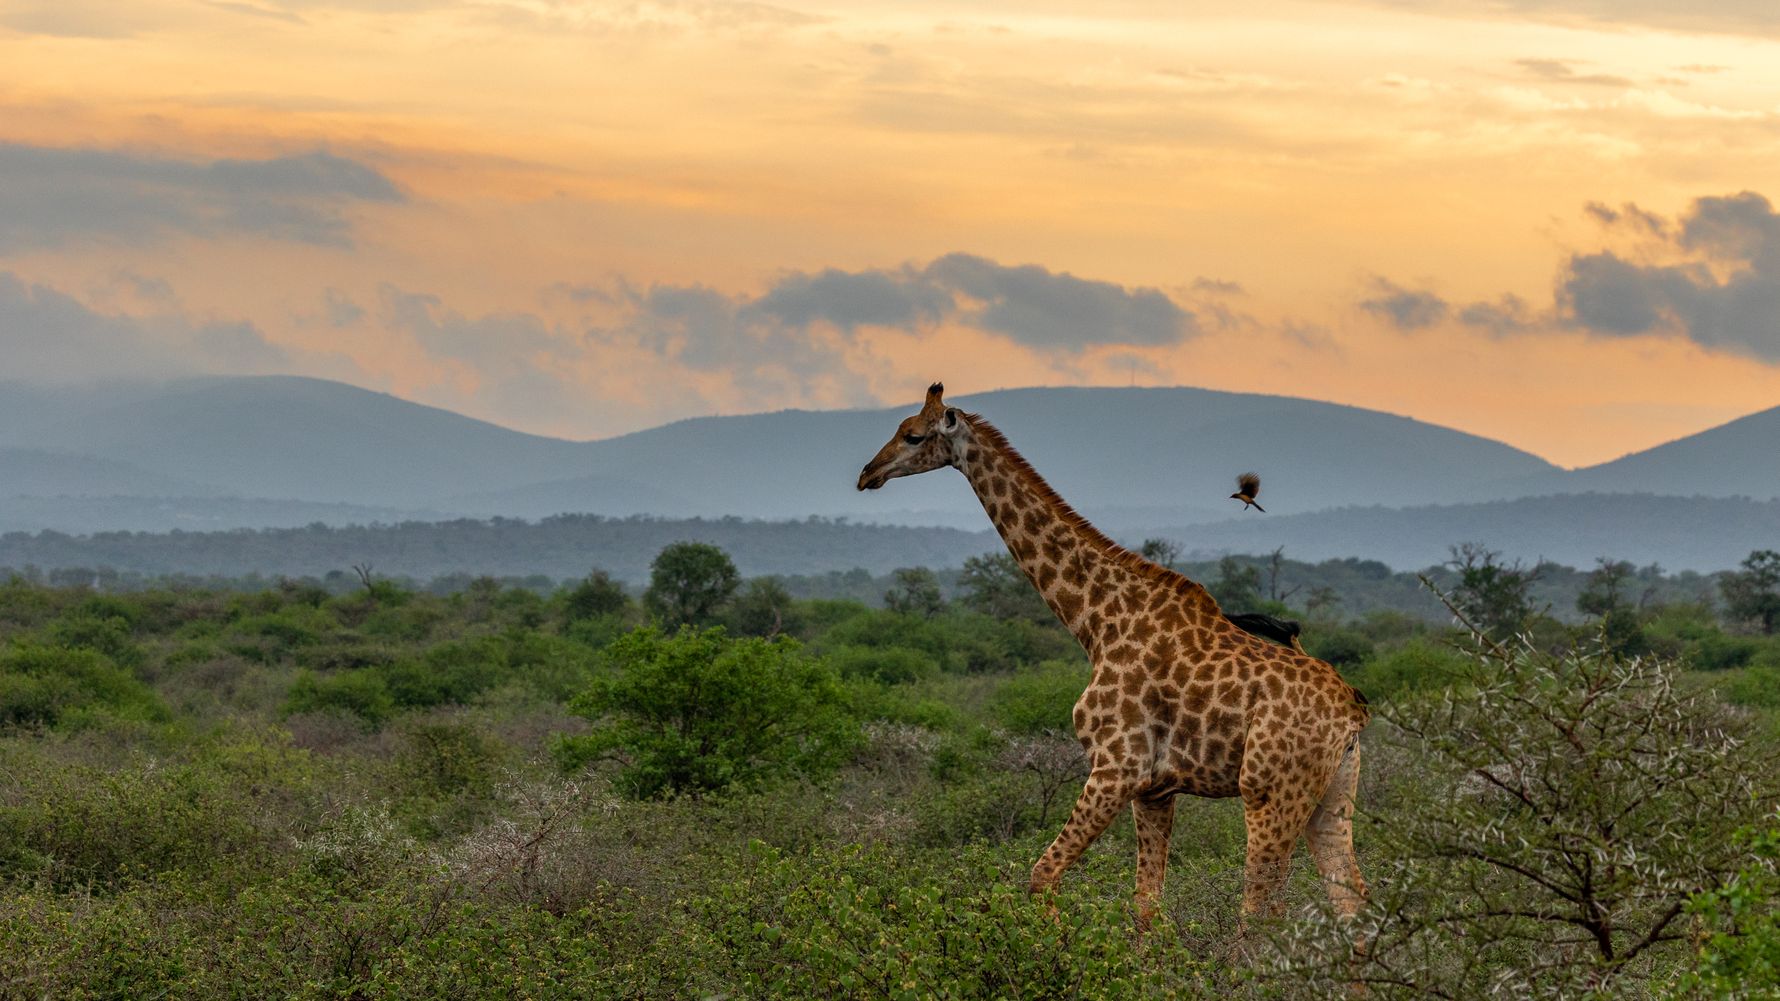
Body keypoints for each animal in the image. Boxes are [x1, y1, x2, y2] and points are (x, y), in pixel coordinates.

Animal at [857, 384, 1370, 934]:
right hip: (1331, 798)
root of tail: (1352, 711)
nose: (867, 474)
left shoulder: (1116, 767)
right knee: (1353, 902)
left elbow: (1042, 876)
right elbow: (1146, 906)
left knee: (1259, 912)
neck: (1097, 621)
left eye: (913, 435)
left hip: (1268, 792)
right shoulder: (1155, 789)